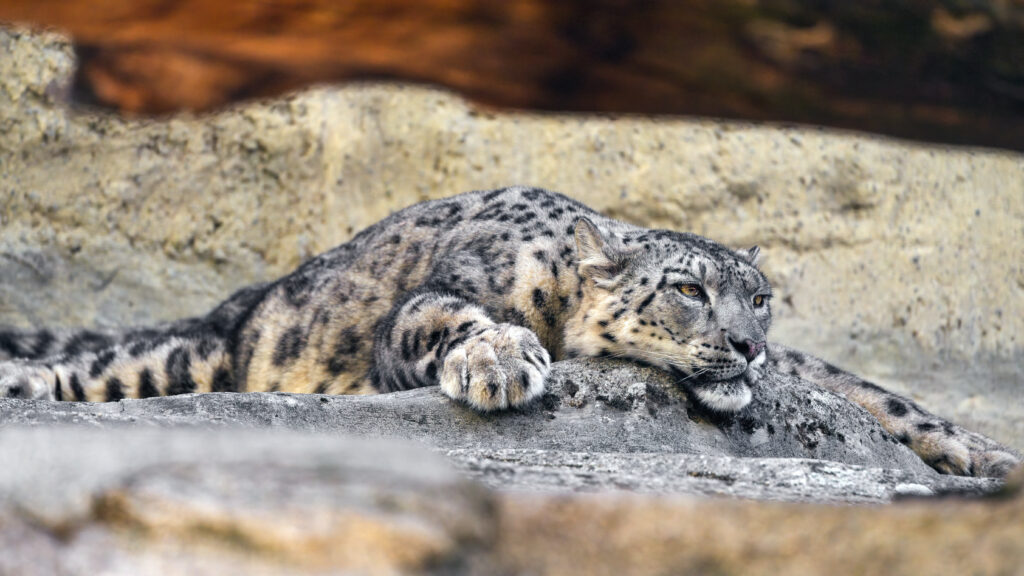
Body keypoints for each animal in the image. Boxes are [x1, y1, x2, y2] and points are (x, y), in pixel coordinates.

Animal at [0, 186, 1018, 477]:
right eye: (688, 288)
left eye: (760, 298)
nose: (749, 348)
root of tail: (242, 301)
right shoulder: (430, 304)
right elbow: (451, 317)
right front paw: (500, 361)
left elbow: (871, 392)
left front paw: (984, 452)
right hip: (197, 355)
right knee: (116, 365)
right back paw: (23, 384)